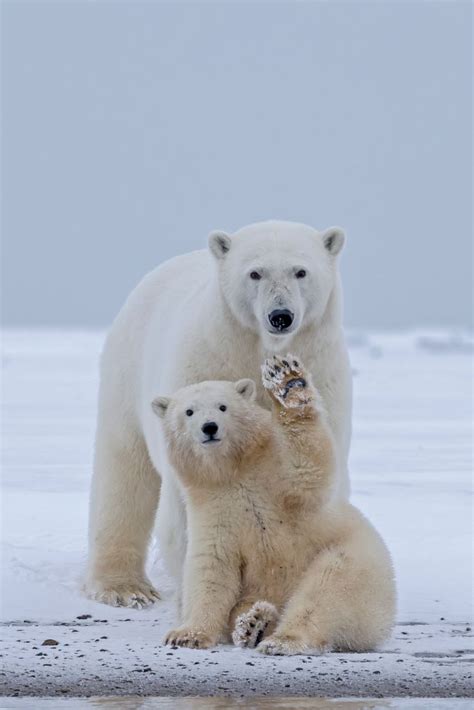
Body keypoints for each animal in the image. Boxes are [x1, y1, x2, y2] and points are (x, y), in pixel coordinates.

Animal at [84, 221, 352, 608]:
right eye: (255, 273)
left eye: (301, 271)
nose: (280, 316)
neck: (257, 349)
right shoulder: (204, 364)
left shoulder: (323, 372)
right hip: (126, 372)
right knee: (124, 472)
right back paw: (123, 587)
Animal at [156, 356, 396, 656]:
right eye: (189, 412)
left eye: (223, 406)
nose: (209, 427)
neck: (234, 471)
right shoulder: (212, 507)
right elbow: (211, 568)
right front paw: (186, 635)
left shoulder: (275, 474)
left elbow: (308, 469)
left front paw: (288, 382)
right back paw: (252, 624)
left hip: (358, 562)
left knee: (327, 588)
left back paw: (283, 638)